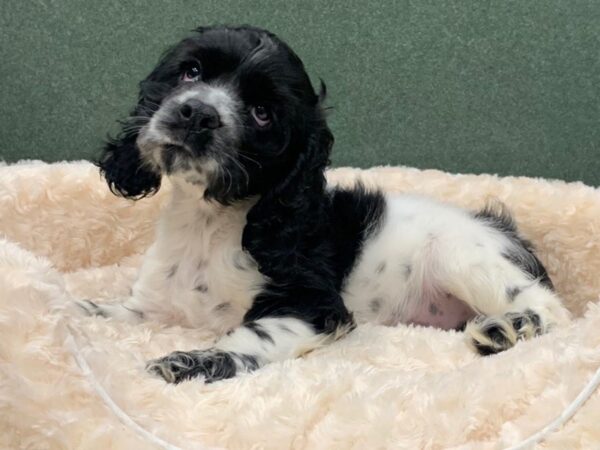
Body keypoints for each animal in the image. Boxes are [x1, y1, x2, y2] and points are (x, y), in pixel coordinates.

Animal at [77, 24, 568, 384]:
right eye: (190, 72)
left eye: (262, 113)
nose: (196, 113)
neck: (207, 222)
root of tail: (505, 229)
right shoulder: (153, 306)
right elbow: (110, 312)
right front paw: (77, 310)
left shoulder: (315, 306)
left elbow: (252, 337)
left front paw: (190, 363)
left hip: (463, 257)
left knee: (552, 311)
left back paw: (508, 329)